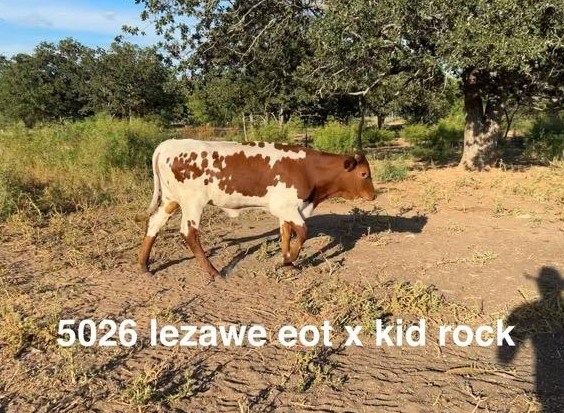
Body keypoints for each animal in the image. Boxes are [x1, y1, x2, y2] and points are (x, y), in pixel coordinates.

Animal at [135, 139, 376, 280]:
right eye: (364, 174)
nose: (373, 195)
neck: (308, 169)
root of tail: (168, 144)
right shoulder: (287, 207)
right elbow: (303, 232)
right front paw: (289, 259)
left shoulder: (287, 208)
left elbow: (286, 234)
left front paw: (288, 261)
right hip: (192, 202)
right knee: (189, 233)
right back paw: (212, 271)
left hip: (170, 199)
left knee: (154, 224)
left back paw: (143, 265)